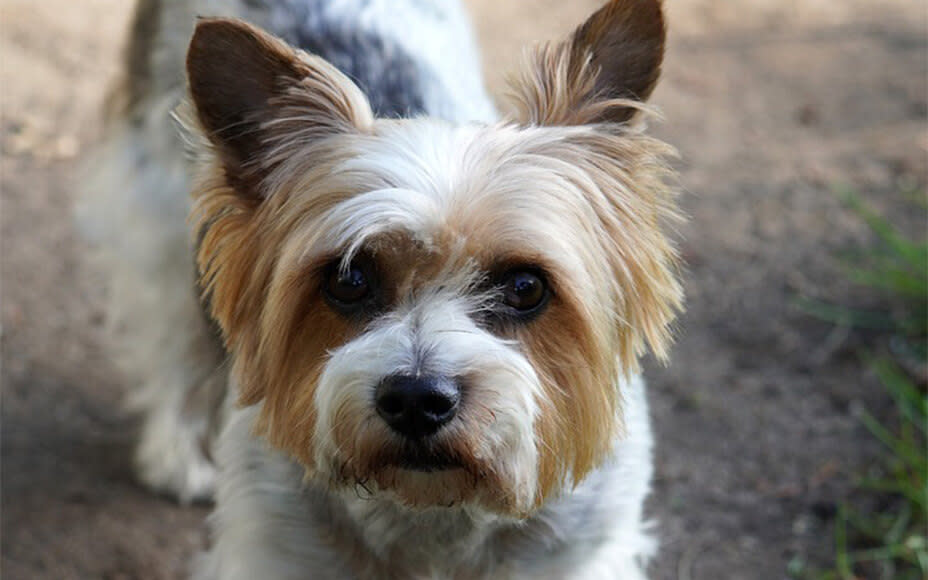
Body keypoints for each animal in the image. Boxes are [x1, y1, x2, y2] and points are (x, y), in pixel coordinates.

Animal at [81, 0, 680, 576]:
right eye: (349, 280)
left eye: (526, 286)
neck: (431, 511)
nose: (417, 399)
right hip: (161, 213)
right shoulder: (279, 550)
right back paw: (177, 455)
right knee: (174, 331)